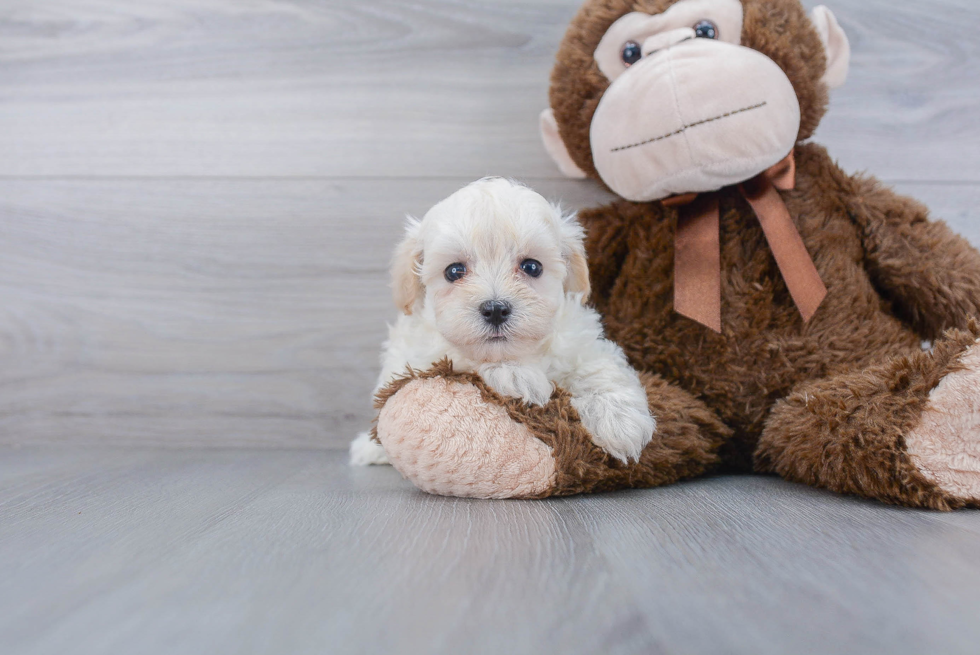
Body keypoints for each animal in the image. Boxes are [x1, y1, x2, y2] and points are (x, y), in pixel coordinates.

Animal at [348, 179, 656, 466]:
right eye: (454, 271)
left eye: (532, 267)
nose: (495, 309)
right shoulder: (428, 352)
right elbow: (466, 358)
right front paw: (515, 375)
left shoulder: (580, 341)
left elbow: (600, 369)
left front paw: (620, 421)